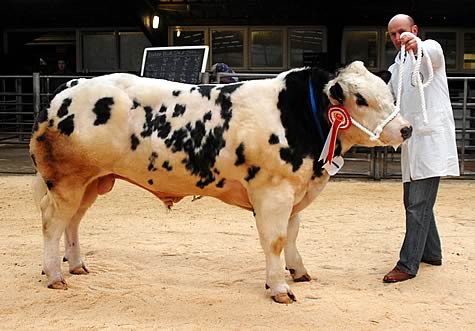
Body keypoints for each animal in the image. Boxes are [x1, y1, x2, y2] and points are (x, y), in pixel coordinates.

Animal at [29, 61, 412, 304]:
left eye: (388, 93)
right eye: (360, 99)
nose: (406, 128)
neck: (298, 115)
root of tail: (67, 88)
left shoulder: (294, 192)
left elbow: (292, 235)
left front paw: (298, 271)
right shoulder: (273, 193)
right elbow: (275, 240)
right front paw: (280, 288)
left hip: (92, 182)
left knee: (73, 223)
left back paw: (77, 265)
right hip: (66, 182)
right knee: (52, 222)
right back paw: (55, 275)